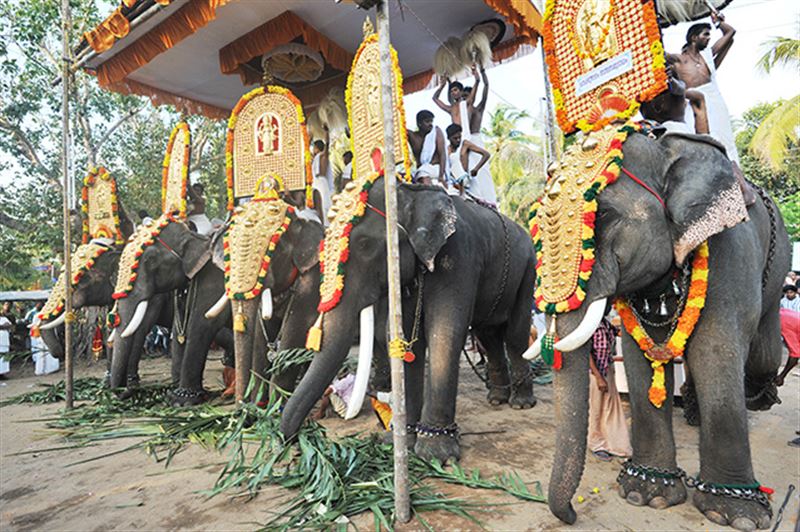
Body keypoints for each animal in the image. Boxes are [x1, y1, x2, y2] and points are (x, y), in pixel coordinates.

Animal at [282, 178, 536, 462]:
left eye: (365, 245)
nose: (299, 439)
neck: (410, 192)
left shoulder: (459, 258)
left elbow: (445, 331)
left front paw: (436, 455)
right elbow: (403, 338)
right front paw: (398, 441)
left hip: (528, 267)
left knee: (514, 334)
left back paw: (521, 404)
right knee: (489, 334)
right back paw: (496, 398)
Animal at [528, 123, 792, 528]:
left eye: (603, 216)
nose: (571, 514)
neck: (662, 149)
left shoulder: (728, 245)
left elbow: (715, 348)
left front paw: (737, 515)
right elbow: (639, 356)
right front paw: (646, 493)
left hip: (779, 263)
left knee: (762, 349)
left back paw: (759, 398)